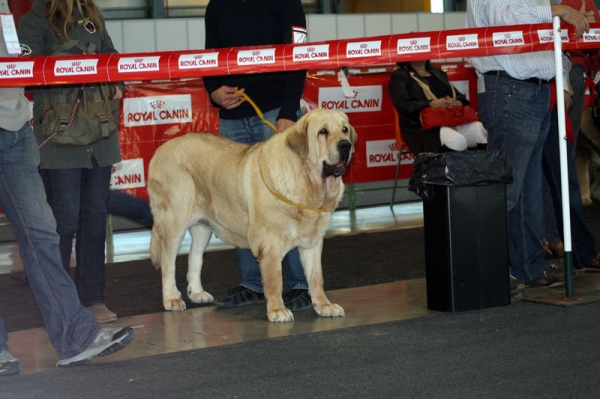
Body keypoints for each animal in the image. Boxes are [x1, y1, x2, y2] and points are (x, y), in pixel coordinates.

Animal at [148, 108, 358, 322]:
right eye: (323, 131)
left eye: (344, 129)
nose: (346, 145)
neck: (307, 181)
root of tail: (161, 148)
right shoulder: (270, 244)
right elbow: (274, 280)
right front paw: (277, 310)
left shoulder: (312, 244)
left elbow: (316, 279)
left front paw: (324, 306)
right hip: (174, 222)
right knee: (168, 262)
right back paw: (171, 298)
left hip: (204, 226)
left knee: (195, 256)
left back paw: (197, 293)